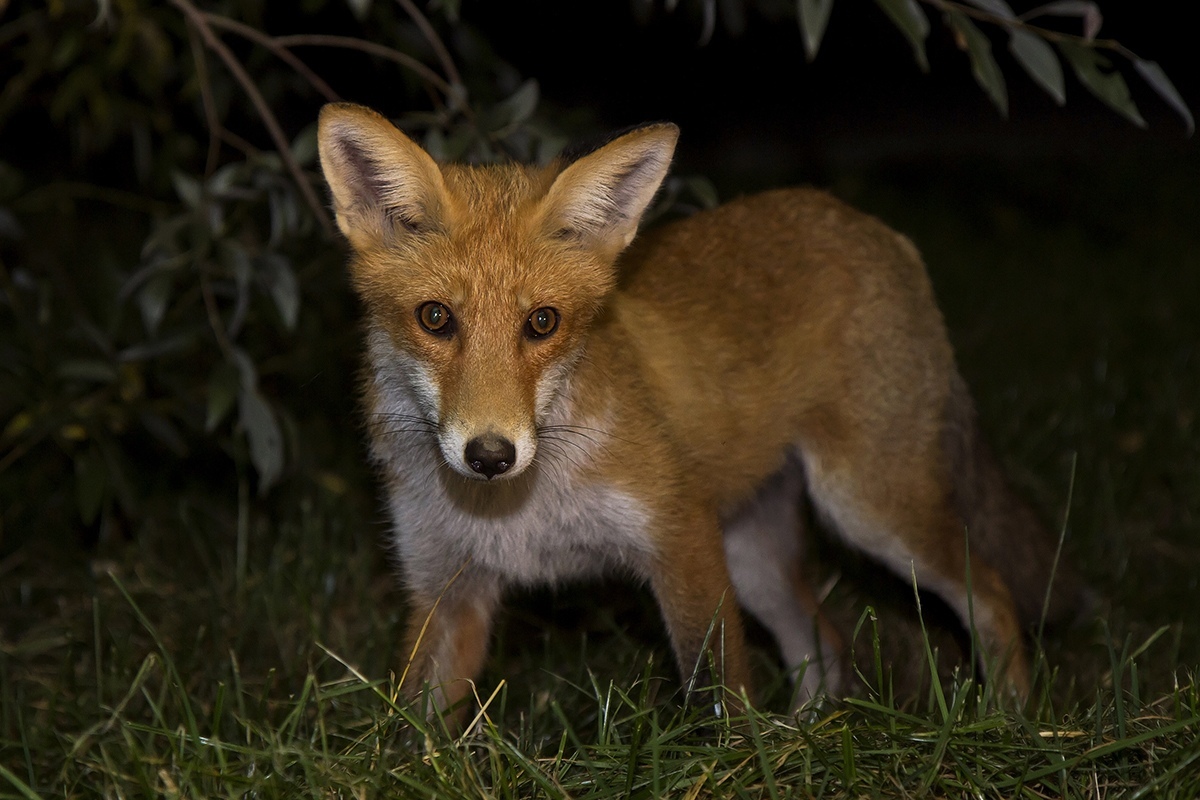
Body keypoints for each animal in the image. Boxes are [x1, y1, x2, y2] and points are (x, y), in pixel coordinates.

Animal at [319, 103, 1089, 724]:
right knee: (825, 641)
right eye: (435, 318)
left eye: (542, 323)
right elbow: (412, 732)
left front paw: (737, 761)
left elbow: (720, 695)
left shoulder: (680, 537)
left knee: (991, 594)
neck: (518, 512)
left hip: (868, 510)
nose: (489, 455)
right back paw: (803, 738)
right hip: (755, 555)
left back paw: (1011, 722)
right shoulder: (446, 588)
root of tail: (870, 225)